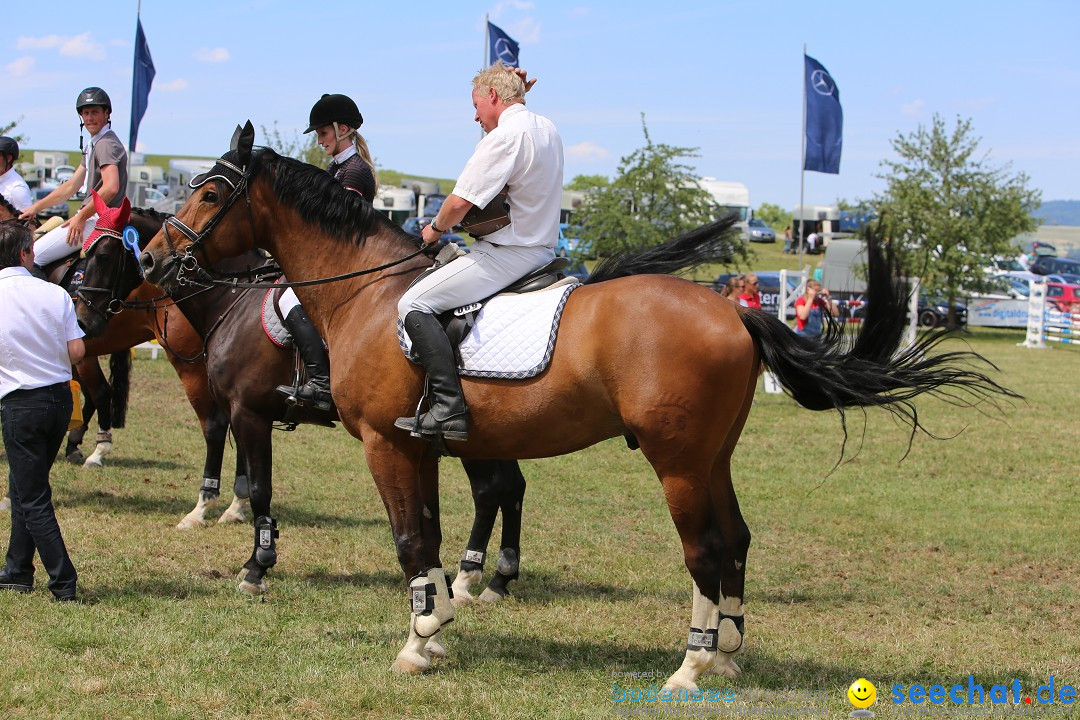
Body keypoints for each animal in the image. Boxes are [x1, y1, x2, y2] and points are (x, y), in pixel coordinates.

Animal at [73, 213, 533, 604]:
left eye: (104, 256)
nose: (82, 319)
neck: (230, 300)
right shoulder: (245, 411)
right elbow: (248, 473)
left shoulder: (243, 410)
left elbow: (255, 480)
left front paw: (253, 562)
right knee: (509, 487)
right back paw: (496, 579)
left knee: (489, 490)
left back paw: (470, 576)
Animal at [139, 136, 1015, 690]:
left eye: (210, 191)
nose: (153, 258)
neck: (371, 292)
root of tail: (735, 311)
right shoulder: (420, 448)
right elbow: (427, 540)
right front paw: (437, 626)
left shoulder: (383, 445)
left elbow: (404, 539)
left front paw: (417, 644)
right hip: (712, 458)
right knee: (734, 539)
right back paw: (730, 652)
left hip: (677, 461)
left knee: (703, 549)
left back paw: (691, 665)